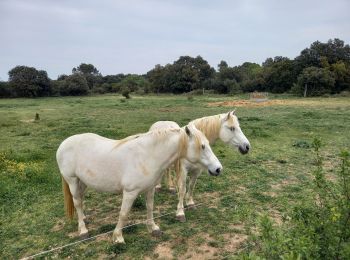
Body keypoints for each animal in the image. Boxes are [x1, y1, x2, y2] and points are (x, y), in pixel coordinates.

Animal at [57, 125, 221, 243]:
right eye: (202, 146)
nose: (218, 169)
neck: (147, 156)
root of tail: (64, 143)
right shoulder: (130, 192)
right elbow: (123, 214)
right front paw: (118, 237)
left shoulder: (150, 189)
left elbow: (150, 208)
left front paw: (153, 228)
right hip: (72, 180)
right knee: (77, 202)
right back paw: (83, 230)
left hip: (83, 181)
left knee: (80, 198)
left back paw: (84, 218)